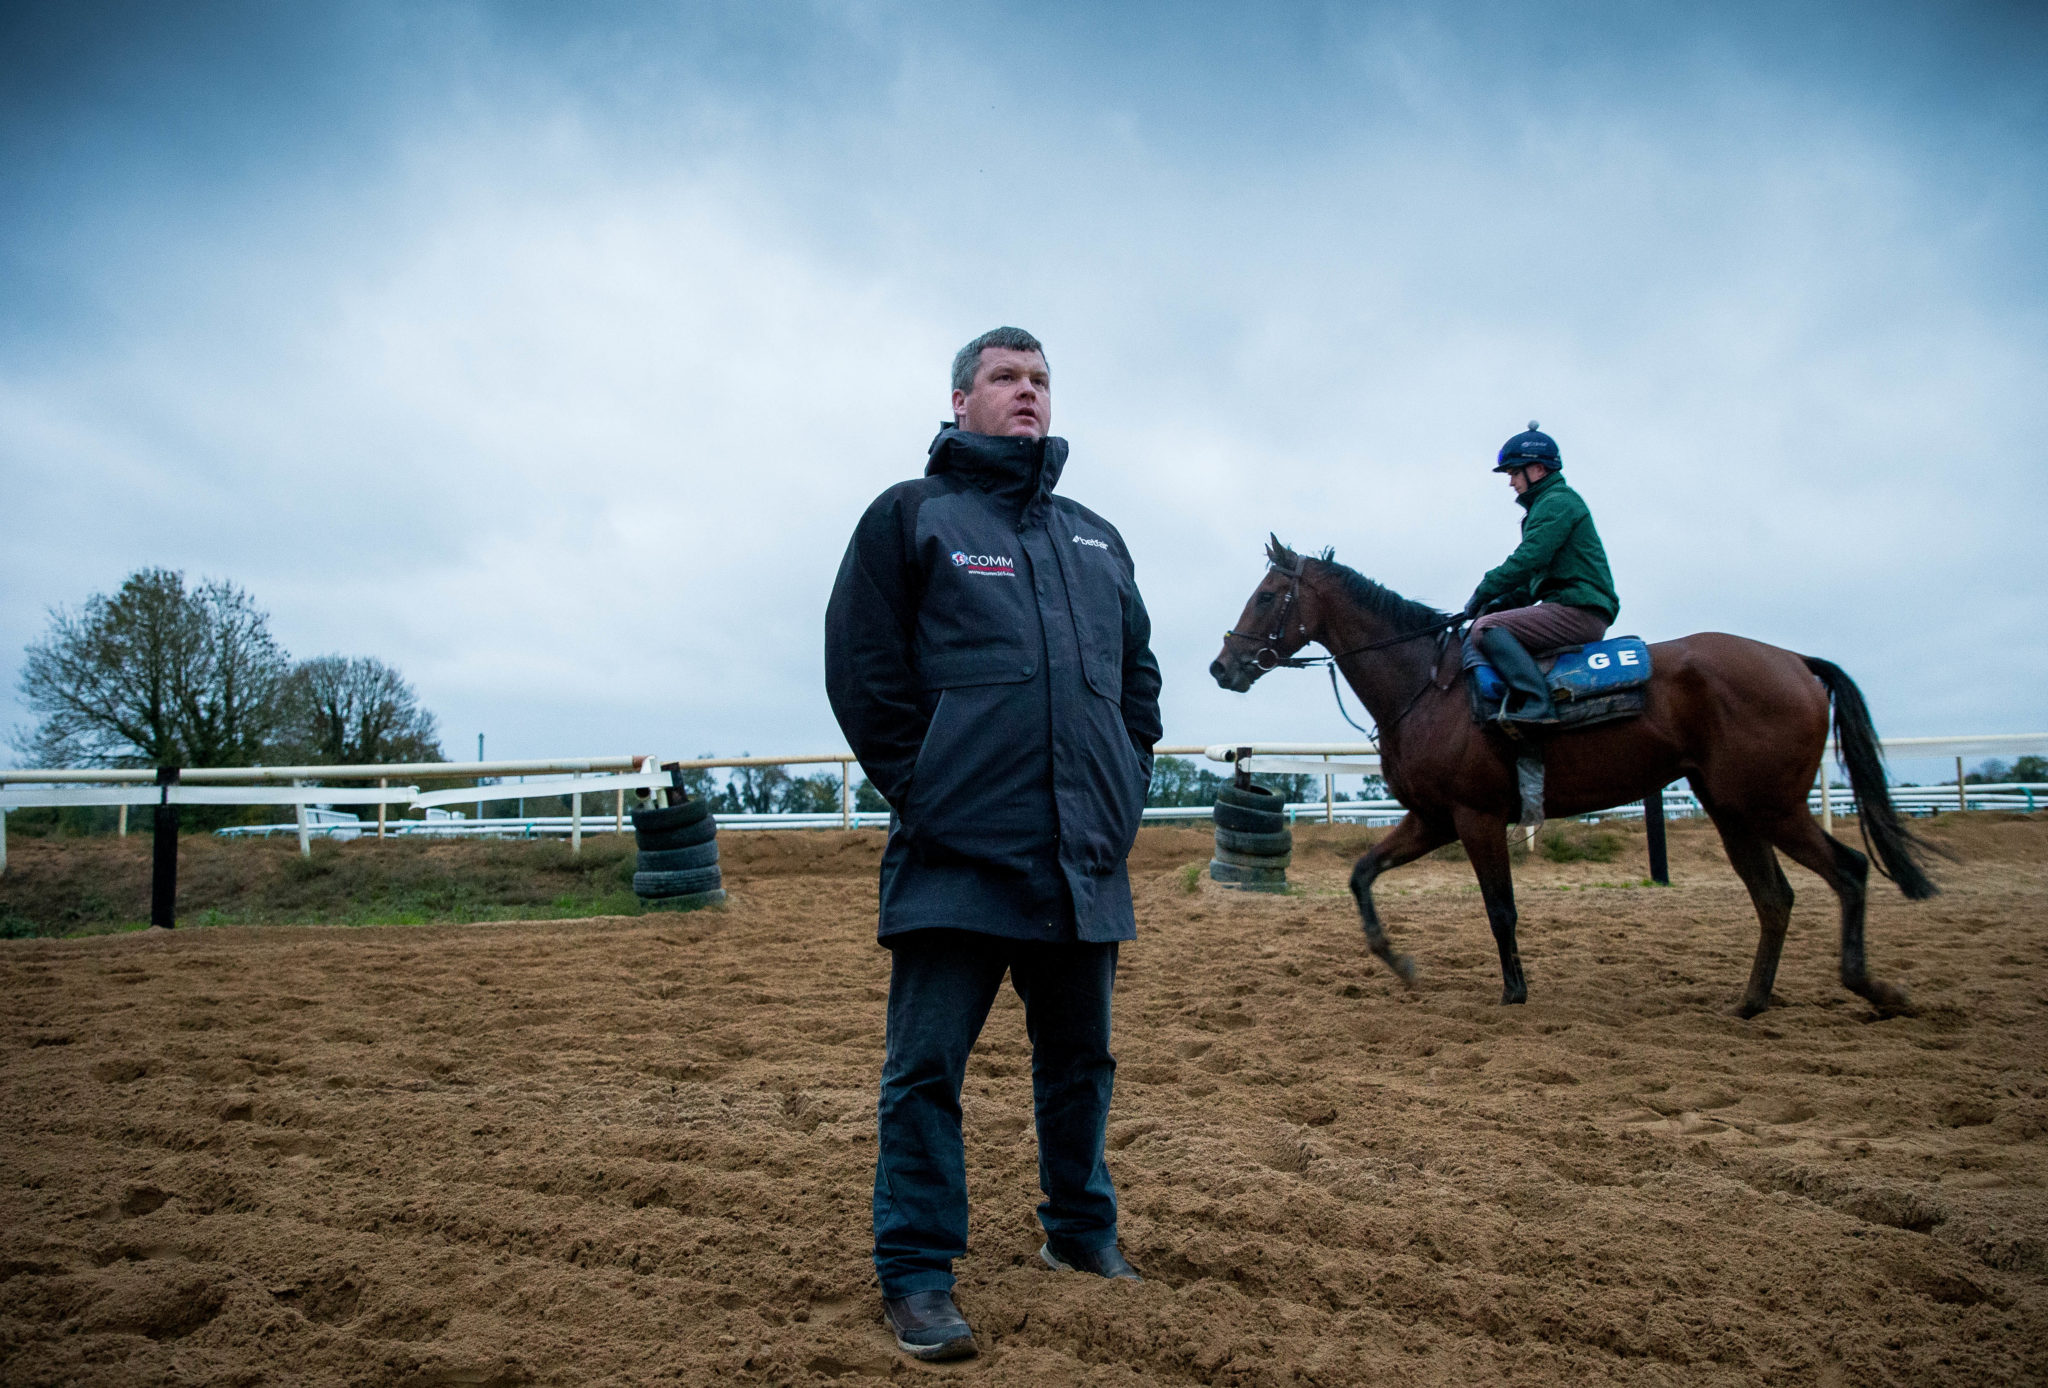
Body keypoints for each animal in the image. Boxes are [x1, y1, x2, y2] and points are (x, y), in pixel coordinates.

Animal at [1204, 536, 1941, 1015]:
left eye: (1267, 595)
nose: (1222, 667)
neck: (1429, 685)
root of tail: (1796, 661)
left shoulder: (1474, 817)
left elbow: (1500, 908)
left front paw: (1514, 993)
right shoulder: (1433, 818)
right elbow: (1362, 875)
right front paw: (1401, 962)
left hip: (1772, 805)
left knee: (1847, 871)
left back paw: (1875, 989)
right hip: (1734, 809)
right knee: (1775, 897)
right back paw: (1752, 1002)